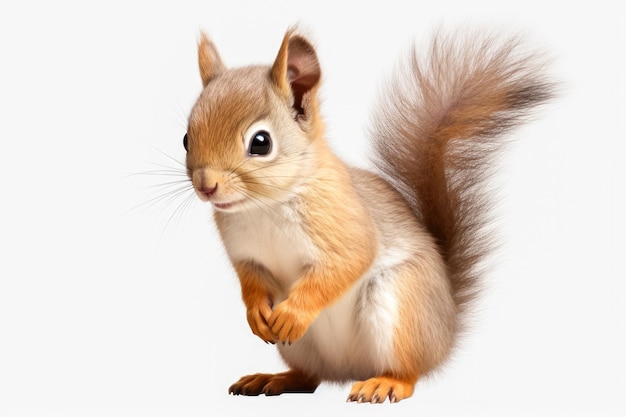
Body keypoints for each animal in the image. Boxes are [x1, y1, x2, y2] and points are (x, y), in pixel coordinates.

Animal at [180, 26, 552, 404]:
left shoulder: (347, 227)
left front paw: (293, 313)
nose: (206, 186)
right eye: (185, 138)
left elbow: (345, 265)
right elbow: (251, 282)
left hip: (398, 310)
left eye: (260, 143)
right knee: (310, 377)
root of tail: (446, 327)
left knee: (407, 371)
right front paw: (256, 312)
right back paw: (273, 379)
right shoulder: (246, 256)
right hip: (304, 350)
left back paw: (385, 383)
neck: (263, 206)